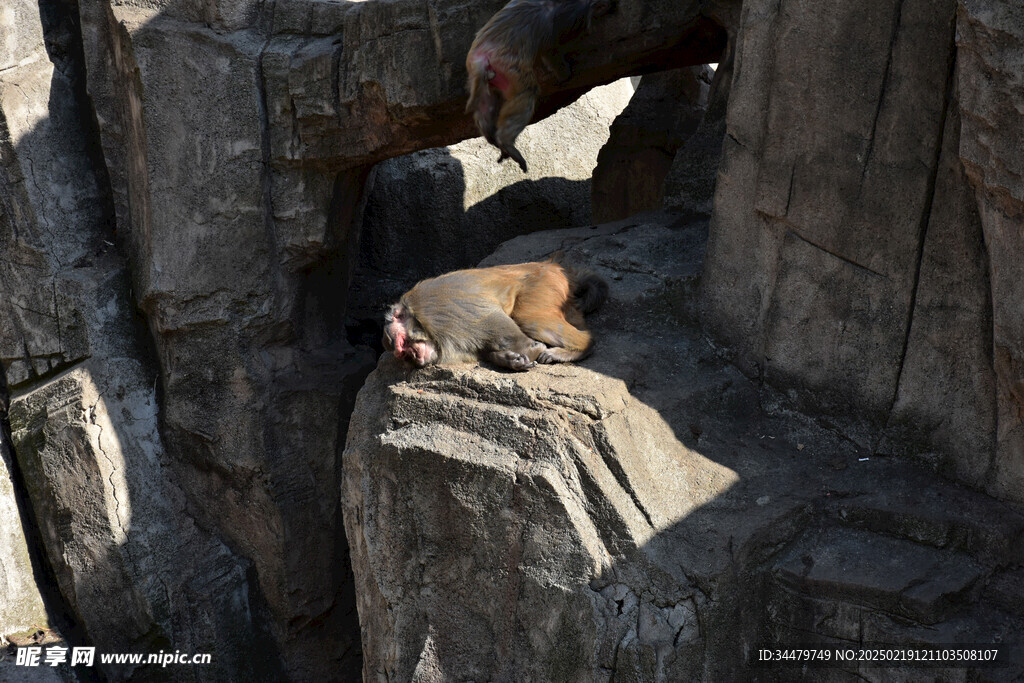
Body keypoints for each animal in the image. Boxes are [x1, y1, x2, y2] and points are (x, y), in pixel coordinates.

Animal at [385, 259, 606, 370]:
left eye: (403, 344)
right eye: (403, 354)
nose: (414, 356)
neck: (417, 319)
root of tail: (558, 269)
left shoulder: (435, 311)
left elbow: (491, 320)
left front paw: (530, 349)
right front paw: (509, 360)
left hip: (543, 286)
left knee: (529, 319)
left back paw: (581, 346)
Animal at [466, 0, 614, 171]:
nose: (611, 7)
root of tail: (480, 59)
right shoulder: (570, 16)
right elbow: (550, 49)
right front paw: (564, 72)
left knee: (486, 104)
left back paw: (494, 139)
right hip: (508, 67)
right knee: (526, 92)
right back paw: (506, 142)